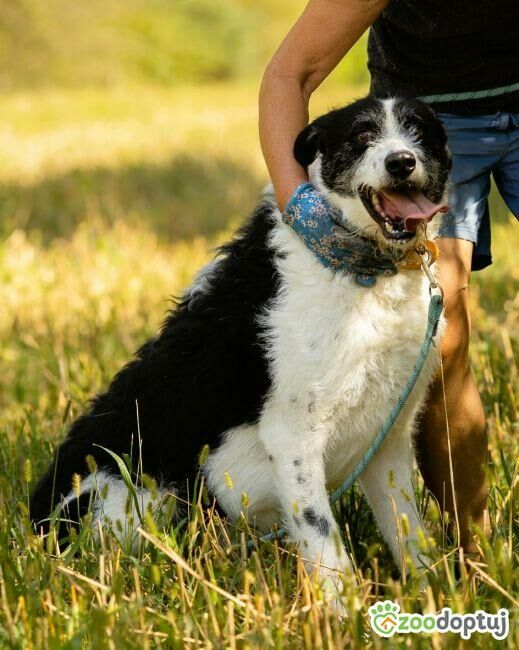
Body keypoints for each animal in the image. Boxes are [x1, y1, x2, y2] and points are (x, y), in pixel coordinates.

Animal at [31, 95, 451, 596]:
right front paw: (342, 610)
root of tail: (34, 520)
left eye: (418, 131)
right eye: (362, 136)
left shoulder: (389, 436)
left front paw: (437, 595)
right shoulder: (293, 436)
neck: (354, 266)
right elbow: (324, 541)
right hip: (141, 497)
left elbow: (410, 534)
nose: (401, 161)